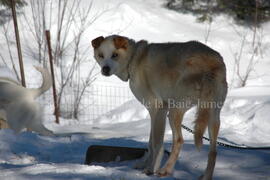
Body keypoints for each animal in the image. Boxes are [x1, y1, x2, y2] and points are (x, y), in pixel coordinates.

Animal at [91, 35, 228, 180]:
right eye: (101, 55)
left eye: (115, 55)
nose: (105, 69)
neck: (134, 59)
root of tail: (211, 64)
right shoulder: (157, 112)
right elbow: (150, 143)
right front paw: (144, 164)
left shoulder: (157, 109)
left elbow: (156, 144)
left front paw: (151, 169)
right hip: (213, 117)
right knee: (213, 152)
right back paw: (206, 176)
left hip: (173, 113)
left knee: (179, 140)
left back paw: (165, 170)